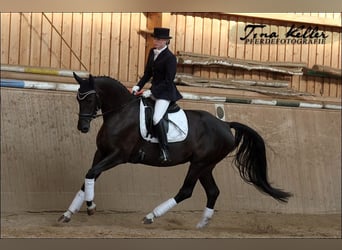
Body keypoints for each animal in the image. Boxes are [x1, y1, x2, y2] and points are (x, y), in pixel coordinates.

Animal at [58, 73, 292, 229]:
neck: (120, 113)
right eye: (77, 98)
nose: (83, 128)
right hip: (206, 166)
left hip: (199, 164)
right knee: (213, 191)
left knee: (186, 191)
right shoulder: (101, 153)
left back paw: (151, 216)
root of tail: (225, 125)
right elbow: (89, 176)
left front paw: (90, 206)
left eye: (90, 98)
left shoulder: (118, 156)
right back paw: (202, 224)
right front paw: (69, 213)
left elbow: (91, 173)